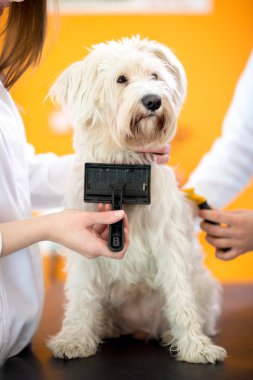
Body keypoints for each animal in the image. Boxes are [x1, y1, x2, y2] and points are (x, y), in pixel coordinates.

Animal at [48, 37, 227, 364]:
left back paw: (171, 335)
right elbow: (82, 296)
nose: (153, 100)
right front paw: (75, 339)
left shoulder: (170, 241)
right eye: (121, 80)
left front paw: (196, 346)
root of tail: (139, 327)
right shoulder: (83, 242)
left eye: (155, 76)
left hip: (204, 286)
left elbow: (181, 296)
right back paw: (105, 327)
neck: (123, 161)